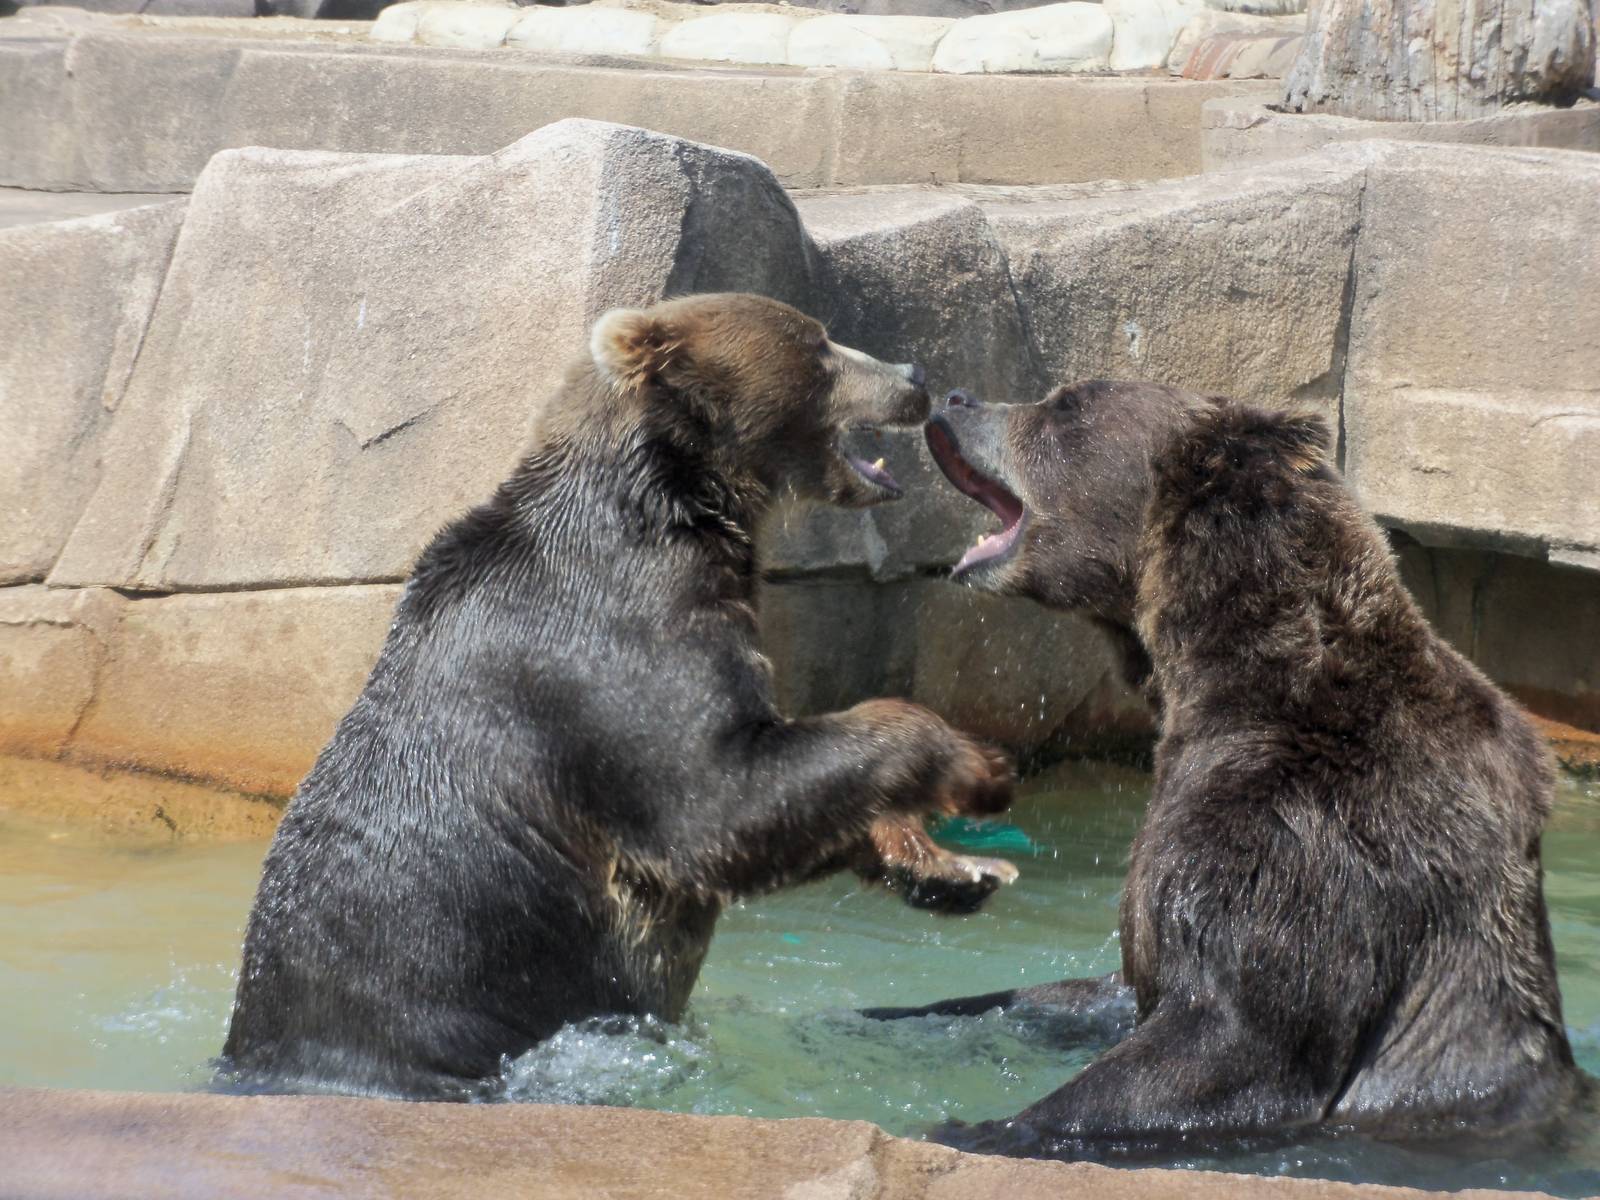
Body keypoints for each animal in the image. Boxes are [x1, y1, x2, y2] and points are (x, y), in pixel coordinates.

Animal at [220, 294, 1016, 1100]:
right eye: (818, 344)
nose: (913, 374)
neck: (677, 502)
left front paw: (951, 867)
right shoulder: (610, 639)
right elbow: (715, 800)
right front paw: (974, 765)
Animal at [868, 380, 1583, 1158]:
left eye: (1067, 405)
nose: (957, 397)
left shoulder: (1303, 830)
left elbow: (1229, 1035)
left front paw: (970, 1127)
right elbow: (1112, 985)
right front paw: (901, 1010)